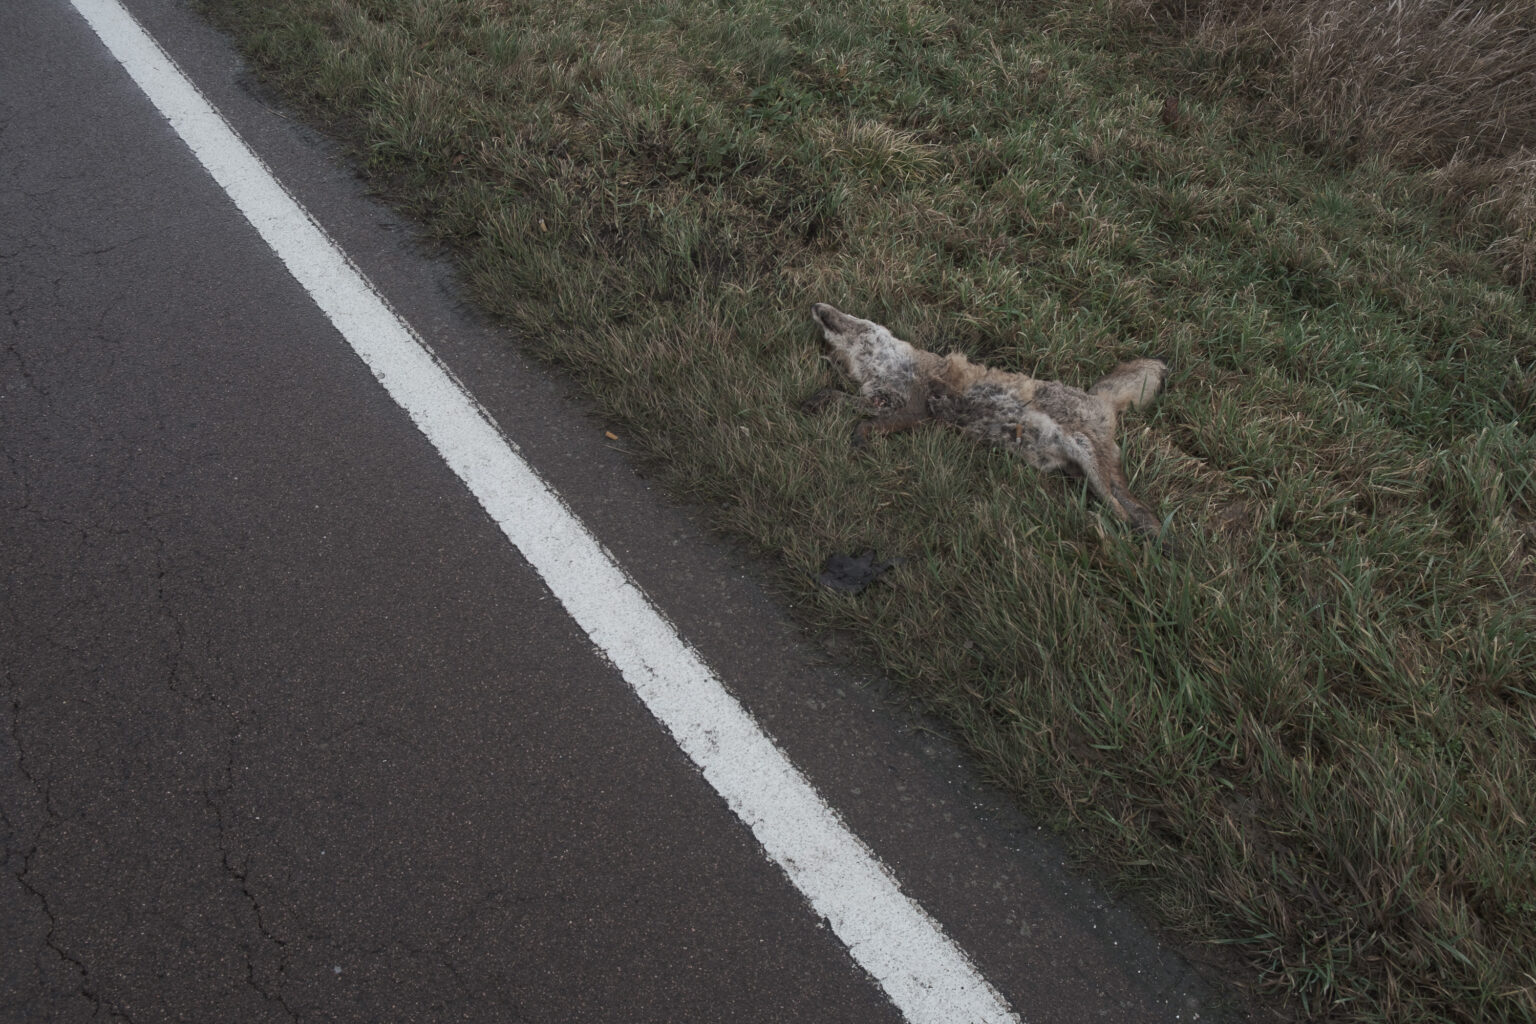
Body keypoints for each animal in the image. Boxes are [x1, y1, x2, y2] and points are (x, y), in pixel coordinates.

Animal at [808, 302, 1171, 539]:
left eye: (854, 320)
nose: (817, 306)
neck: (883, 370)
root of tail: (1099, 399)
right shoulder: (882, 401)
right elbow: (844, 400)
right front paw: (821, 400)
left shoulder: (916, 408)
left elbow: (867, 422)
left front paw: (858, 435)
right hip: (1085, 475)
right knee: (1135, 507)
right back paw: (1155, 540)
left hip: (1090, 462)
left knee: (1126, 510)